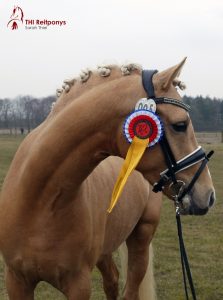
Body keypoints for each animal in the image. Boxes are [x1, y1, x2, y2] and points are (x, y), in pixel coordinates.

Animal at [0, 59, 215, 300]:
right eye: (180, 125)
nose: (208, 194)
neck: (41, 202)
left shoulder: (79, 284)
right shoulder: (17, 280)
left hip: (141, 238)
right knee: (111, 280)